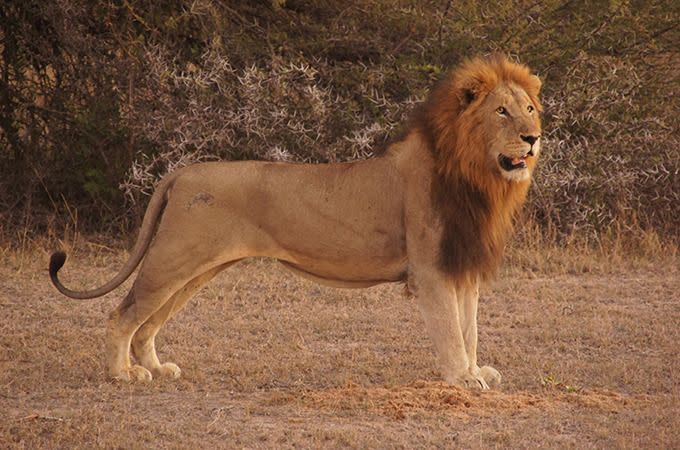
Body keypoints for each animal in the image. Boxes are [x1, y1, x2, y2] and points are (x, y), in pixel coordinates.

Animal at [50, 54, 540, 388]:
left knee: (148, 322)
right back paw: (122, 374)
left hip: (195, 269)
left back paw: (155, 367)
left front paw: (477, 370)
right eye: (501, 111)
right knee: (122, 314)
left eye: (530, 109)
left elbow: (469, 327)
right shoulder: (432, 268)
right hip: (173, 260)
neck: (480, 177)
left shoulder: (462, 265)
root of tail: (183, 171)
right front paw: (463, 379)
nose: (533, 138)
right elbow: (452, 330)